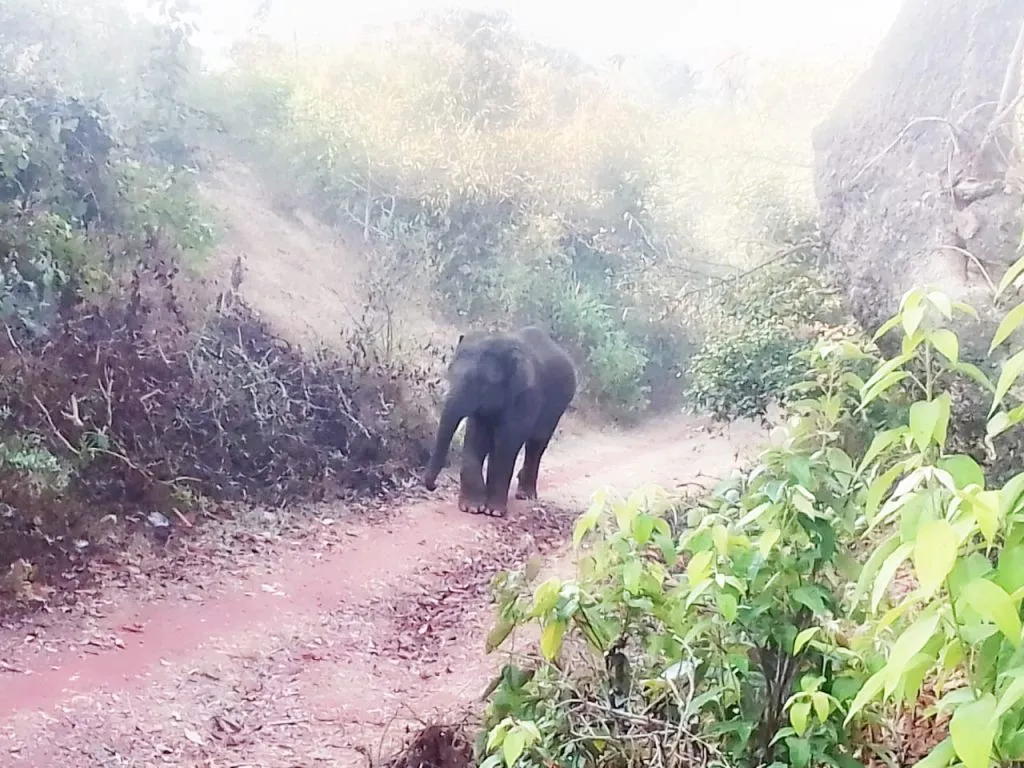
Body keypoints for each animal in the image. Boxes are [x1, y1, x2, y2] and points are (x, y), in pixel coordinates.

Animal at [422, 326, 577, 517]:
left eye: (482, 382)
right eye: (449, 371)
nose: (433, 486)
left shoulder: (526, 396)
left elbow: (507, 442)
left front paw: (493, 512)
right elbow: (476, 438)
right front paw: (471, 508)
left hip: (558, 407)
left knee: (536, 444)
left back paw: (525, 495)